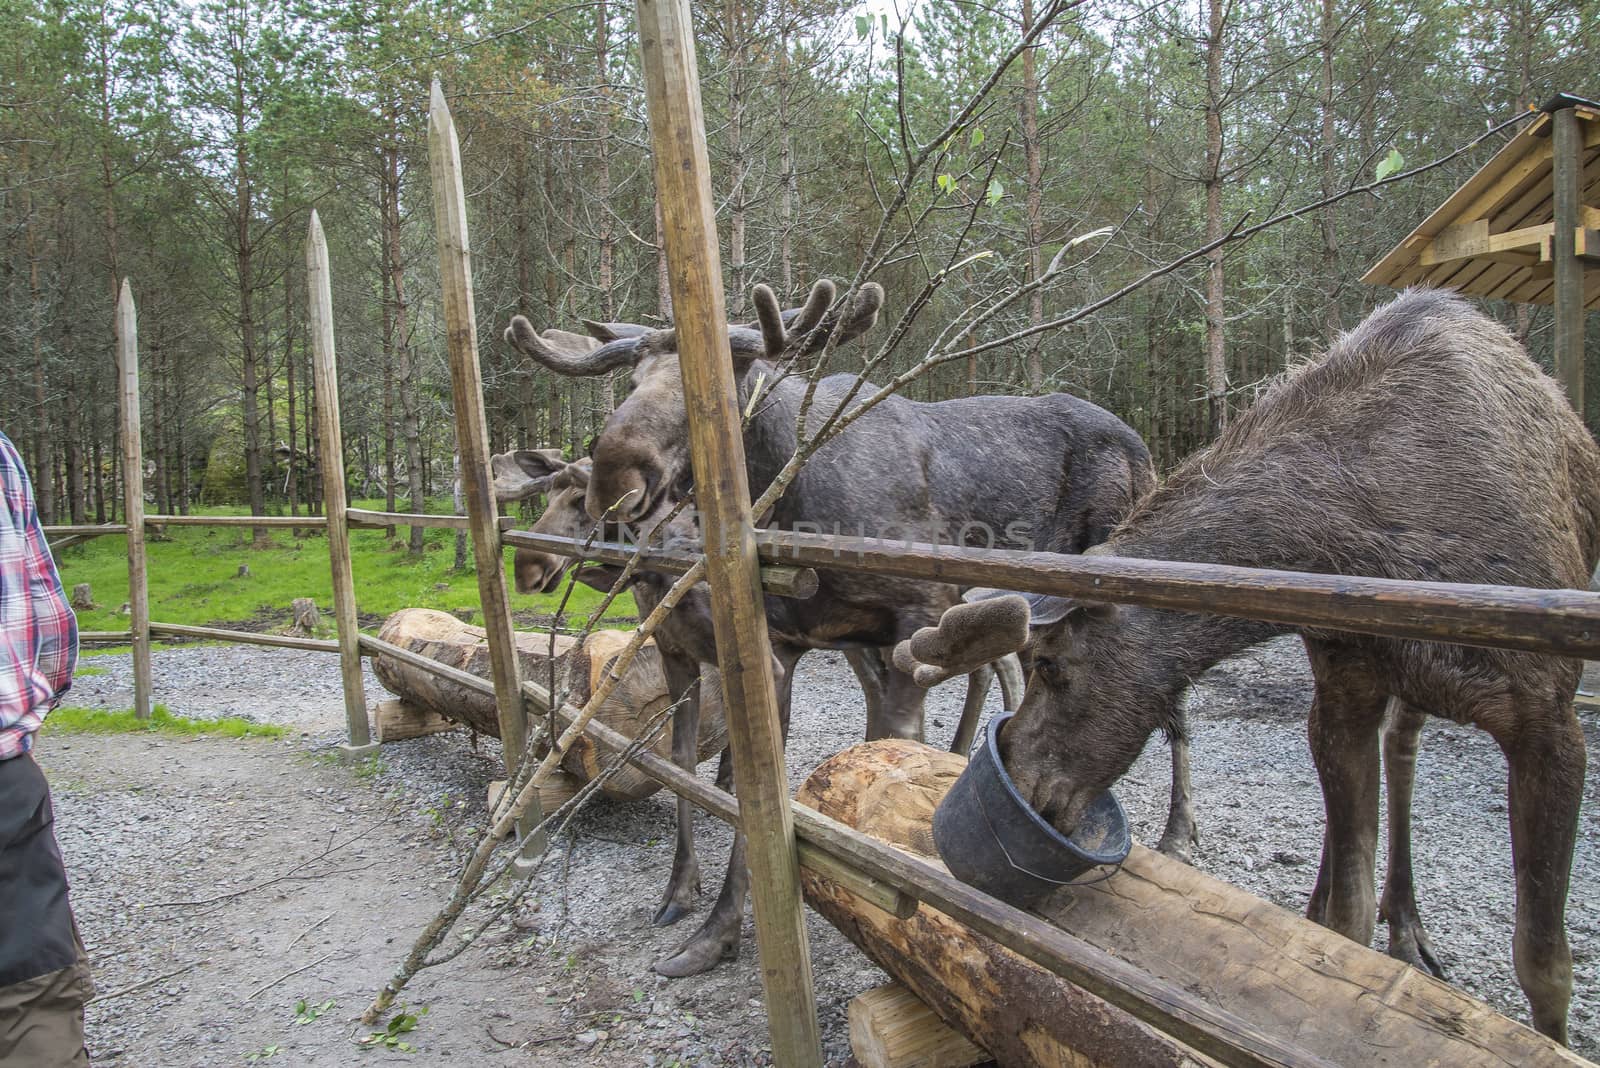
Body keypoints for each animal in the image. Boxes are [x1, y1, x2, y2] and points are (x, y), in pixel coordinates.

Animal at [499, 279, 1164, 972]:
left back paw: (1172, 831)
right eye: (630, 380)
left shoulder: (917, 616)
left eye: (723, 385)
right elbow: (755, 790)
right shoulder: (783, 645)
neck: (791, 500)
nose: (616, 479)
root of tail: (1143, 444)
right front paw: (712, 929)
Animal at [902, 289, 1600, 1042]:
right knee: (1384, 768)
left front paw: (1552, 1040)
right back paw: (1373, 913)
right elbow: (1349, 920)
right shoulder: (1343, 684)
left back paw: (1407, 924)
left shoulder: (1549, 715)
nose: (1021, 783)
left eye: (1052, 664)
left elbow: (1543, 960)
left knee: (1403, 750)